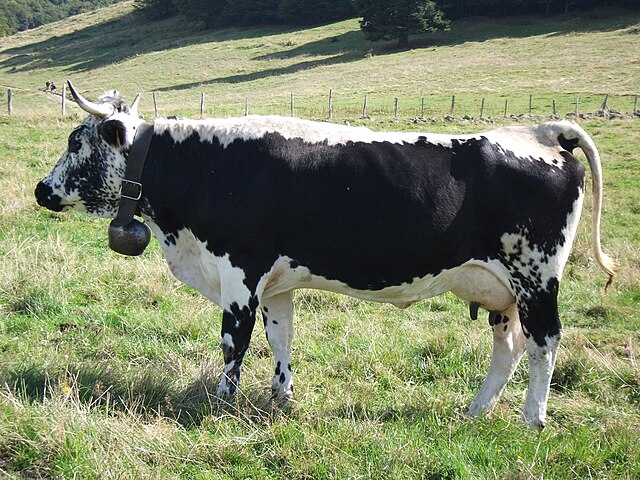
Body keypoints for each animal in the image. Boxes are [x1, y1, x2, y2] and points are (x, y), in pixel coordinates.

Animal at [35, 82, 616, 428]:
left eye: (75, 141)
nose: (41, 190)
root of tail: (542, 131)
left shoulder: (240, 270)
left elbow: (233, 342)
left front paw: (218, 404)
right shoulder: (276, 283)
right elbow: (280, 338)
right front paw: (281, 400)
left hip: (536, 275)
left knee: (544, 343)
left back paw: (532, 419)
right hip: (502, 288)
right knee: (509, 346)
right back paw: (474, 412)